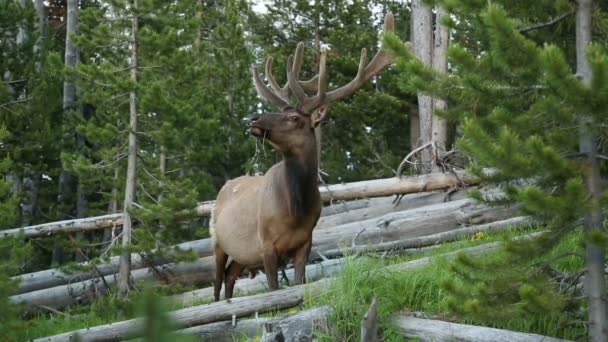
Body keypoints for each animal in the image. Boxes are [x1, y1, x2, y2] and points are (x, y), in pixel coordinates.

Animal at [211, 12, 396, 300]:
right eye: (282, 111)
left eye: (294, 118)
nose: (254, 118)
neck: (295, 209)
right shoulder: (266, 245)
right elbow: (274, 288)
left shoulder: (304, 243)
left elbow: (299, 284)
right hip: (217, 242)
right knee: (217, 283)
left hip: (242, 256)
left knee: (230, 278)